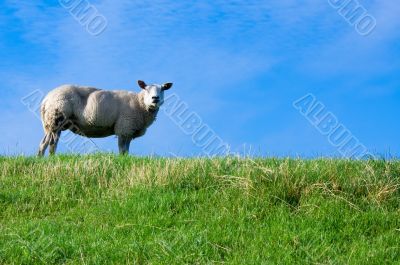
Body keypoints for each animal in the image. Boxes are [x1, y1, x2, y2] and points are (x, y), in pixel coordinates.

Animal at [38, 79, 173, 156]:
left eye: (162, 89)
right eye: (146, 89)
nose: (155, 98)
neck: (139, 103)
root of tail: (46, 99)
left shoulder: (129, 131)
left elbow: (127, 150)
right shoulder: (124, 128)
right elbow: (122, 149)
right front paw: (122, 161)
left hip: (52, 124)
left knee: (50, 144)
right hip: (56, 118)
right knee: (47, 143)